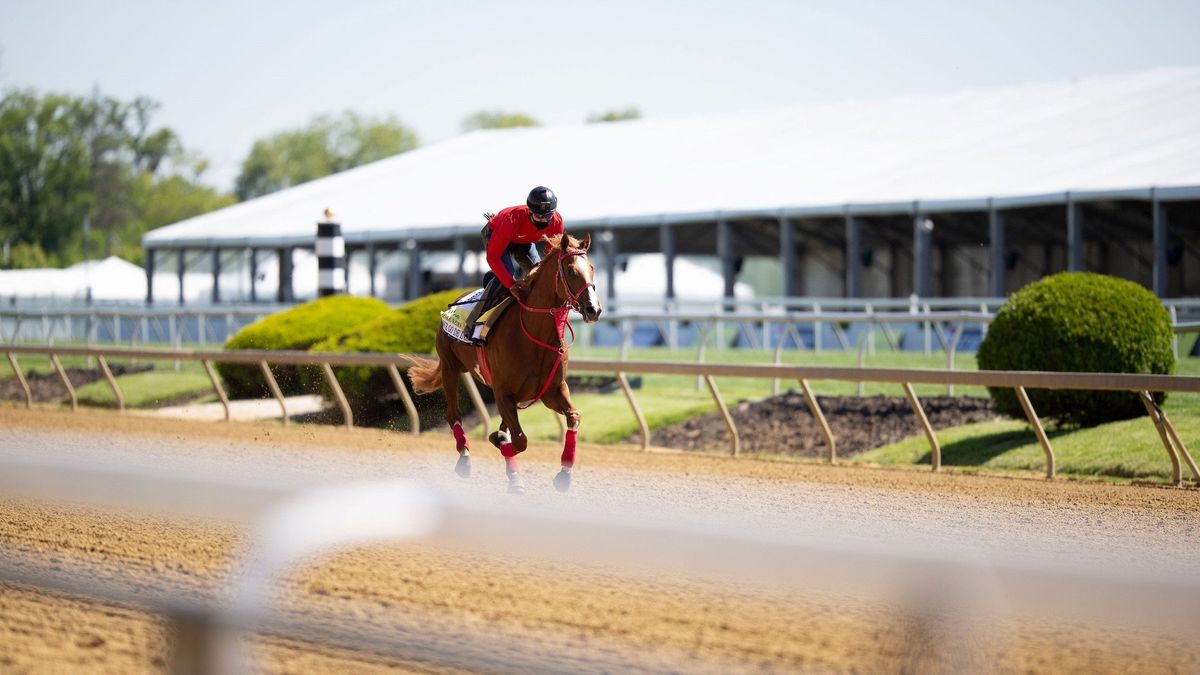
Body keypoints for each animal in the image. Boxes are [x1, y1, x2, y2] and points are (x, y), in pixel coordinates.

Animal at [408, 234, 604, 492]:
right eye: (571, 270)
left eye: (591, 268)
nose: (594, 309)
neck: (535, 334)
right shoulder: (503, 392)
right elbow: (520, 440)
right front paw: (500, 443)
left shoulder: (552, 391)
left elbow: (573, 417)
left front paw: (564, 473)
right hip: (450, 367)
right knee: (454, 415)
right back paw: (466, 458)